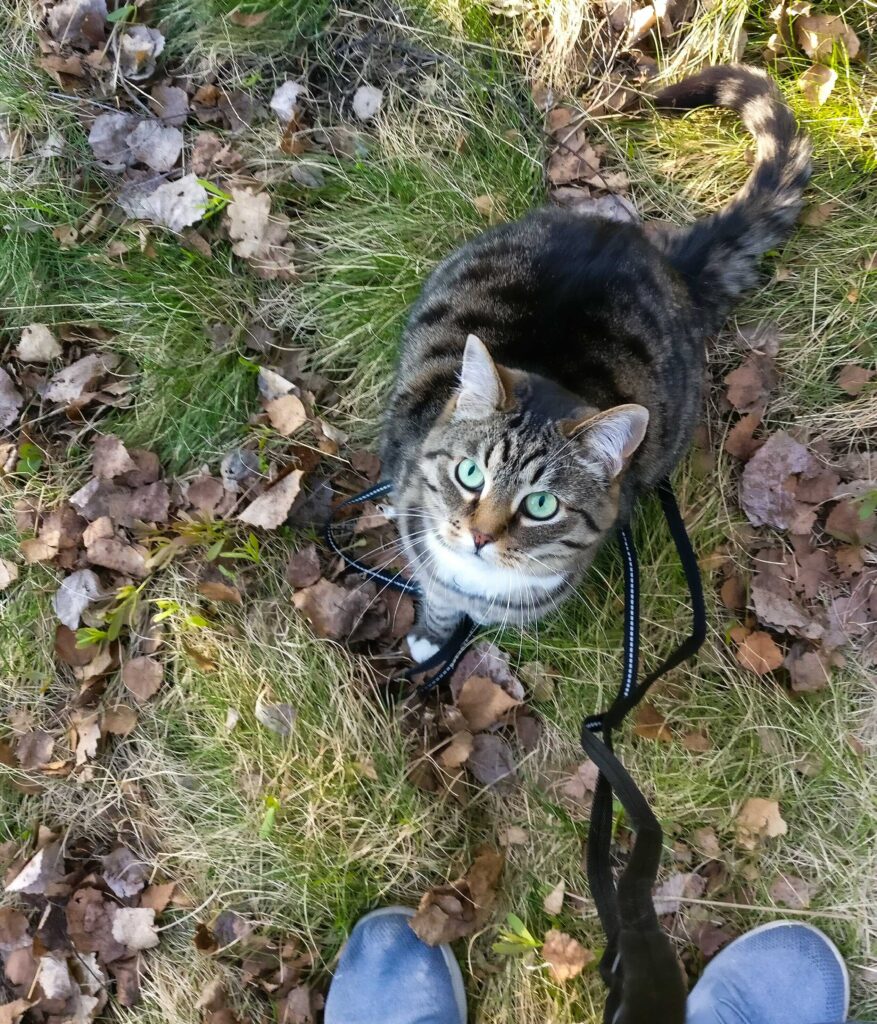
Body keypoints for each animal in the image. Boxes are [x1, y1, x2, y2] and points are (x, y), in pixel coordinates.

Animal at [378, 65, 811, 661]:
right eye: (470, 474)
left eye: (541, 505)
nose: (480, 537)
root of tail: (659, 254)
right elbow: (435, 584)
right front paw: (431, 635)